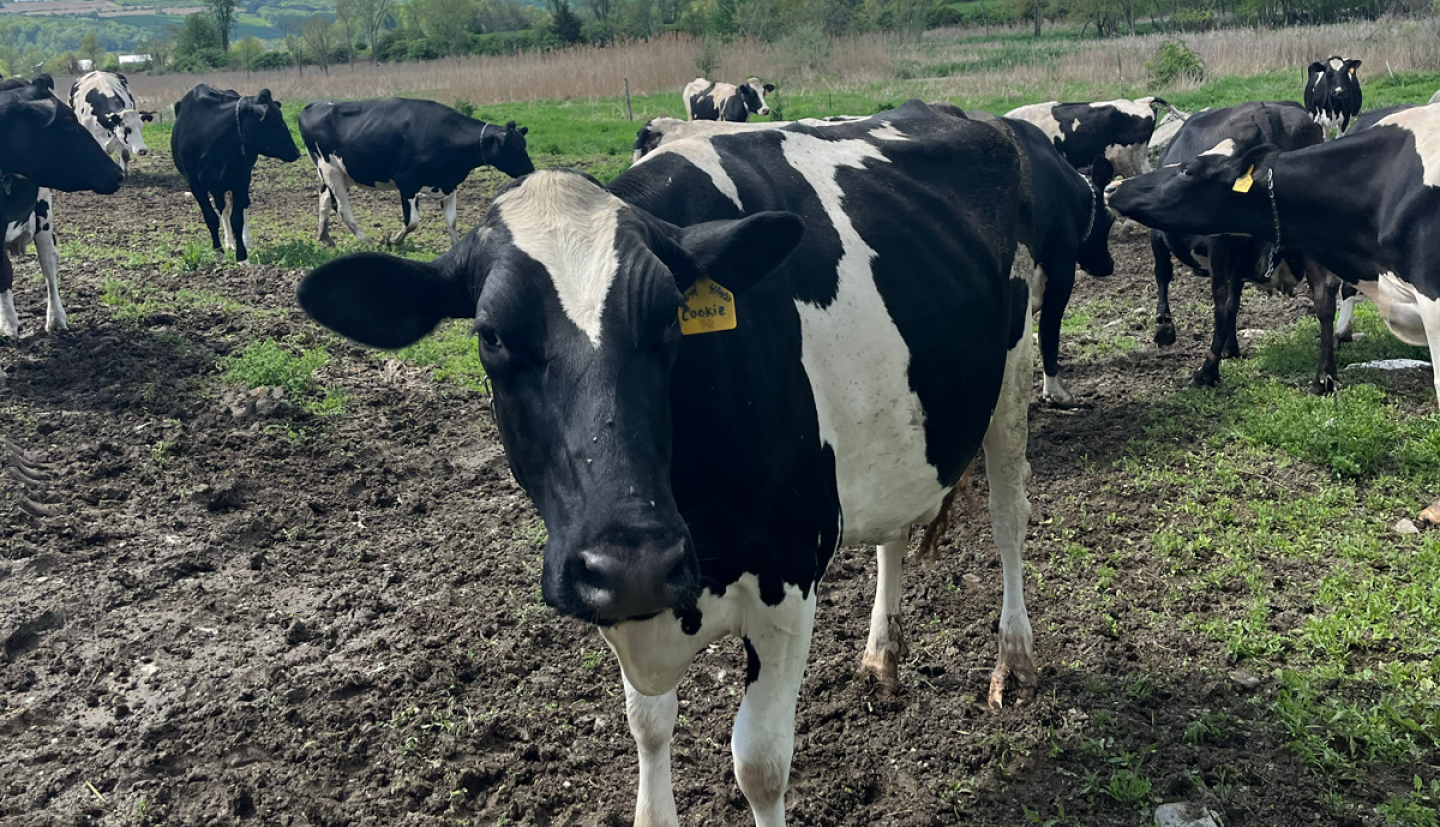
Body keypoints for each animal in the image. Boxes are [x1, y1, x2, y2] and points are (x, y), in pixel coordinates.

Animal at [171, 85, 300, 265]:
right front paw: (219, 253)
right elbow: (211, 218)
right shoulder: (195, 184)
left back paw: (246, 240)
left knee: (243, 204)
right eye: (274, 121)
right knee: (222, 208)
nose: (296, 152)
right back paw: (229, 242)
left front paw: (242, 257)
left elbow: (237, 218)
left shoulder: (240, 178)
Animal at [298, 99, 533, 249]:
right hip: (330, 169)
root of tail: (315, 103)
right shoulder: (407, 183)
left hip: (341, 173)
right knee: (341, 208)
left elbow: (452, 221)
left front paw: (457, 247)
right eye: (513, 148)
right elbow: (411, 221)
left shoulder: (449, 183)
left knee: (324, 199)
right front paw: (393, 241)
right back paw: (367, 241)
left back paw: (324, 237)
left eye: (524, 144)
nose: (531, 172)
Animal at [1111, 101, 1354, 397]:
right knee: (1324, 295)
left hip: (1222, 244)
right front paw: (1231, 347)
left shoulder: (1161, 235)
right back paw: (1324, 376)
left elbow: (1164, 273)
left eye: (1188, 171)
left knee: (1222, 303)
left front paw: (1165, 327)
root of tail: (1266, 110)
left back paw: (1206, 372)